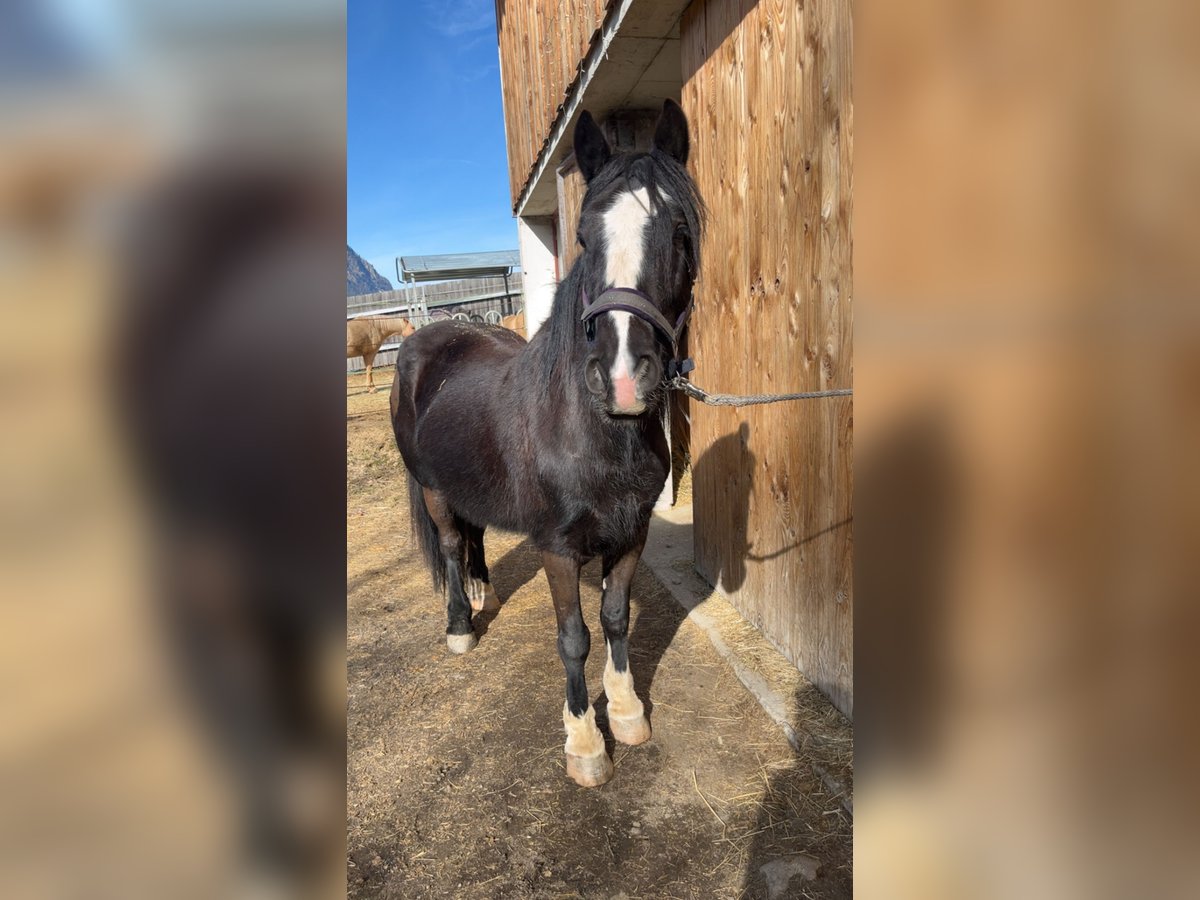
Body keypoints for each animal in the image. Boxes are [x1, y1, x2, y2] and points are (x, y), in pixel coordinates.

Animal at [388, 100, 700, 787]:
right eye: (584, 238)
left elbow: (615, 618)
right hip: (430, 487)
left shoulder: (631, 534)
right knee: (449, 544)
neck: (595, 433)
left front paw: (628, 712)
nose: (622, 379)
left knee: (473, 537)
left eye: (680, 233)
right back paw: (460, 624)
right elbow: (574, 637)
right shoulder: (559, 549)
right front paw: (584, 742)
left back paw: (482, 588)